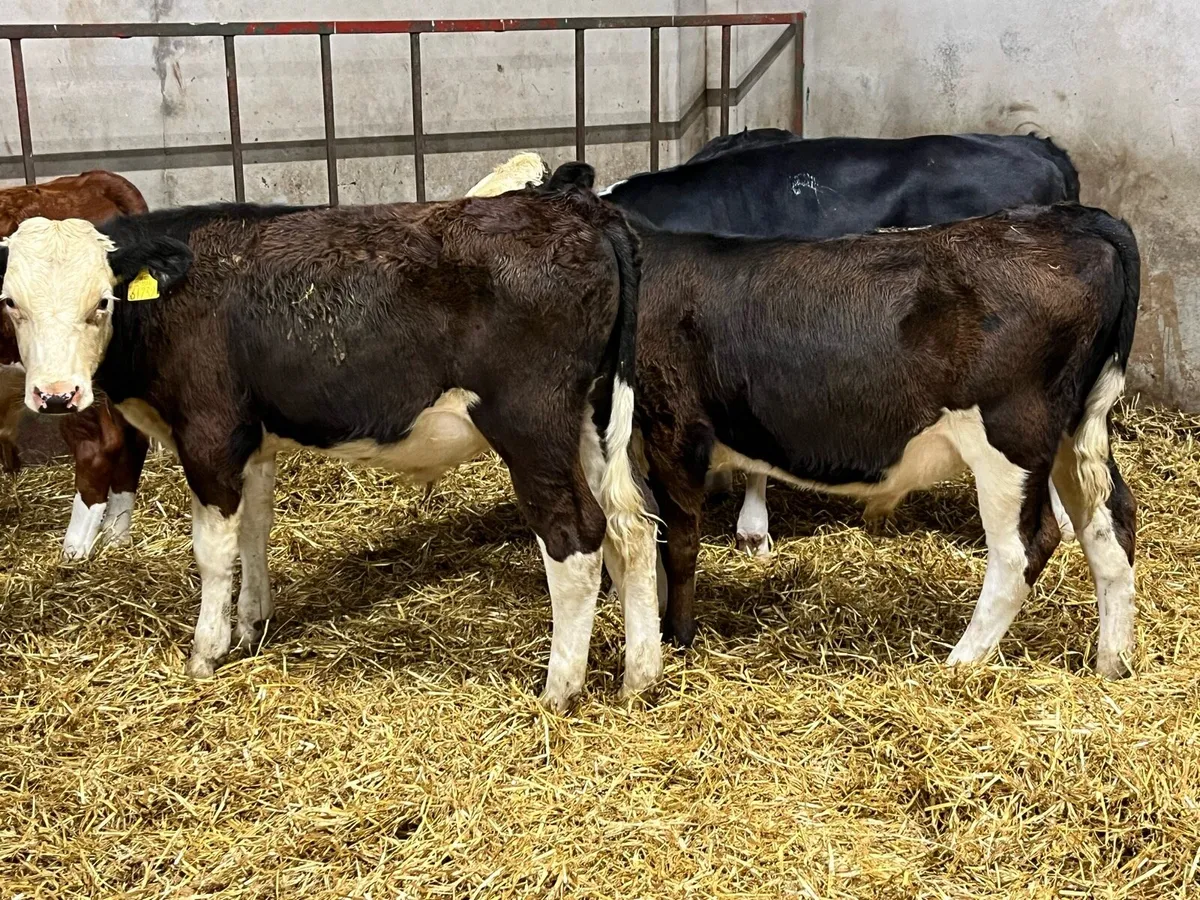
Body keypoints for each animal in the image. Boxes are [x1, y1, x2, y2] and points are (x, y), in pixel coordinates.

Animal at [0, 170, 151, 559]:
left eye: (101, 301)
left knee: (99, 444)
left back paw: (75, 547)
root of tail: (91, 179)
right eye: (9, 301)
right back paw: (115, 532)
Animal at [616, 198, 1139, 676]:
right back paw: (1112, 662)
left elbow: (677, 542)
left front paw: (677, 634)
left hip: (1011, 437)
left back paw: (959, 663)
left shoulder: (673, 427)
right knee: (1111, 523)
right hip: (1074, 431)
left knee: (1023, 549)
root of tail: (1069, 219)